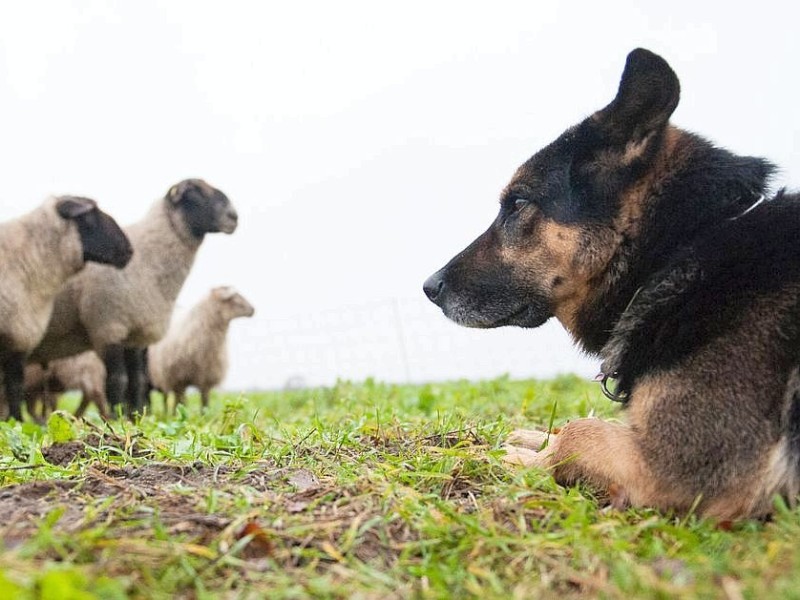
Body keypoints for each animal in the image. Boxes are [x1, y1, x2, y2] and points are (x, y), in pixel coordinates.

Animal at [28, 178, 241, 418]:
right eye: (194, 193)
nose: (233, 217)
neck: (148, 258)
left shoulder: (136, 335)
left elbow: (137, 381)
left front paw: (136, 417)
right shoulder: (109, 327)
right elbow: (117, 381)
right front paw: (116, 418)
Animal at [422, 49, 796, 520]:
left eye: (518, 203)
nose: (429, 287)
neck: (679, 250)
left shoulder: (684, 469)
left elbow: (581, 431)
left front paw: (508, 456)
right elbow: (578, 424)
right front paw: (529, 438)